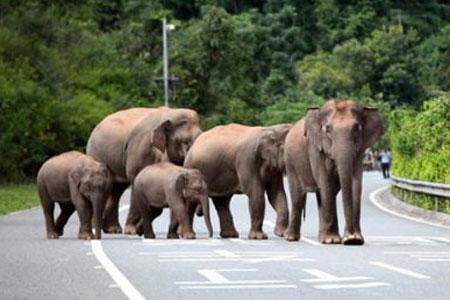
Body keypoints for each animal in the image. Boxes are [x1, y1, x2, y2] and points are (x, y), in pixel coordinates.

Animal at [86, 106, 202, 236]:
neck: (171, 113)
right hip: (97, 154)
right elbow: (137, 182)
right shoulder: (140, 150)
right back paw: (97, 228)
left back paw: (113, 230)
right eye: (185, 141)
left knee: (117, 189)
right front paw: (131, 231)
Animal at [284, 99, 382, 245]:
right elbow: (326, 183)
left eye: (356, 128)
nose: (350, 238)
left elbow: (356, 183)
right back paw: (291, 238)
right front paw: (333, 240)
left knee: (320, 197)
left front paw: (355, 239)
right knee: (298, 197)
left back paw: (321, 238)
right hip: (291, 163)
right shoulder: (315, 148)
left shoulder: (359, 150)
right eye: (327, 129)